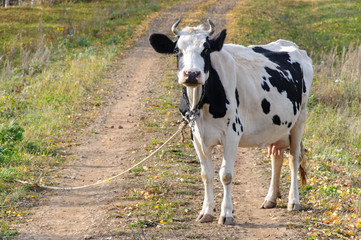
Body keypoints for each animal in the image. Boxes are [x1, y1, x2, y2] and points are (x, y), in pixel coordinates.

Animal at [149, 19, 312, 225]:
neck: (201, 103)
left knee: (293, 159)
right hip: (278, 126)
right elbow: (206, 174)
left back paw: (293, 201)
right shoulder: (196, 136)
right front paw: (206, 211)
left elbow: (225, 175)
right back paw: (270, 199)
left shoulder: (232, 134)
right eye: (177, 50)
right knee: (277, 158)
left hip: (300, 120)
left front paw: (226, 213)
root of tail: (293, 46)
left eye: (206, 49)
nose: (192, 74)